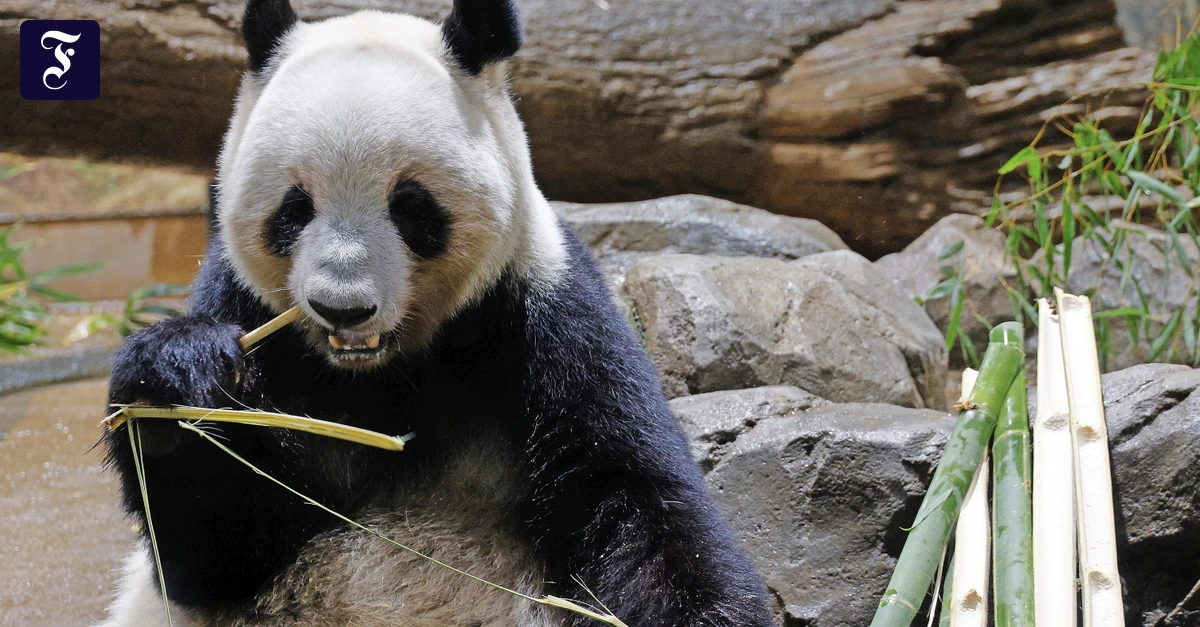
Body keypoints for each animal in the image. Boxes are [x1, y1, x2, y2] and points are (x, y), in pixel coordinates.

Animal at [96, 0, 773, 625]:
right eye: (294, 209)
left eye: (411, 207)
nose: (343, 308)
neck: (382, 374)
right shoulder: (241, 305)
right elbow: (217, 553)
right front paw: (175, 379)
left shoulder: (544, 317)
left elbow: (637, 501)